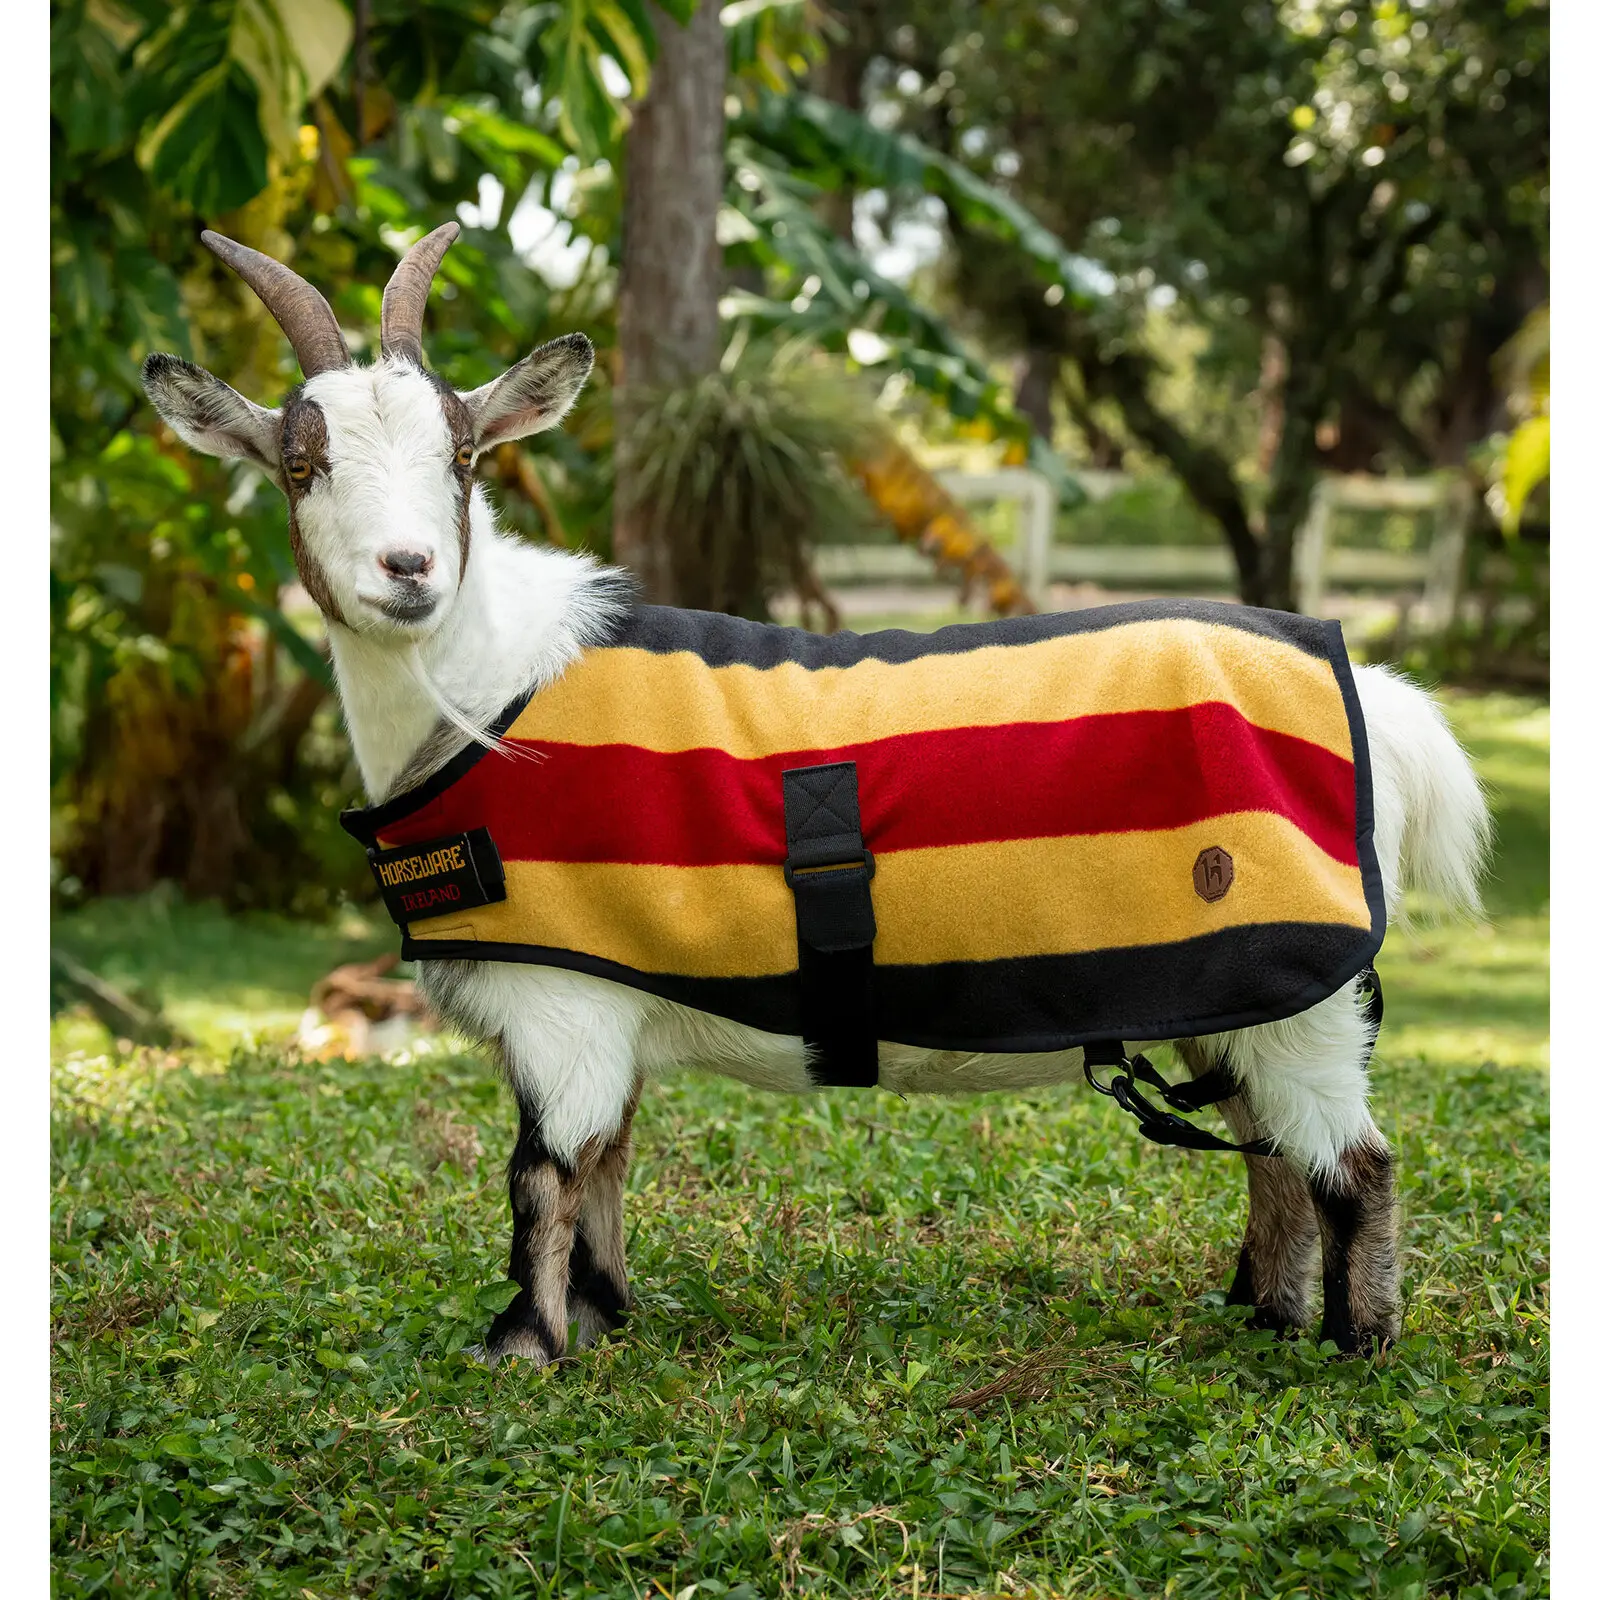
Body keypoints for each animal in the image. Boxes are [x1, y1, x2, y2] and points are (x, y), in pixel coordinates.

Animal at [143, 226, 1491, 1363]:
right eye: (301, 464)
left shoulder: (561, 1004)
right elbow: (609, 1161)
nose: (409, 568)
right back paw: (1260, 1308)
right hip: (1234, 987)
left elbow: (542, 1170)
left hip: (1300, 991)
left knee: (1352, 1163)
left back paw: (1353, 1342)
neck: (485, 691)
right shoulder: (610, 993)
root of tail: (1374, 697)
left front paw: (524, 1345)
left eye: (463, 458)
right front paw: (606, 1313)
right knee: (1273, 1154)